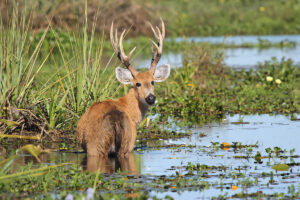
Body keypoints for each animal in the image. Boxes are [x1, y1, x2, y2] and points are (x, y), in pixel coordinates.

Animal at [77, 19, 170, 159]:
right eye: (138, 83)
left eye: (152, 81)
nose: (151, 98)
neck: (129, 108)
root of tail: (114, 120)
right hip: (120, 143)